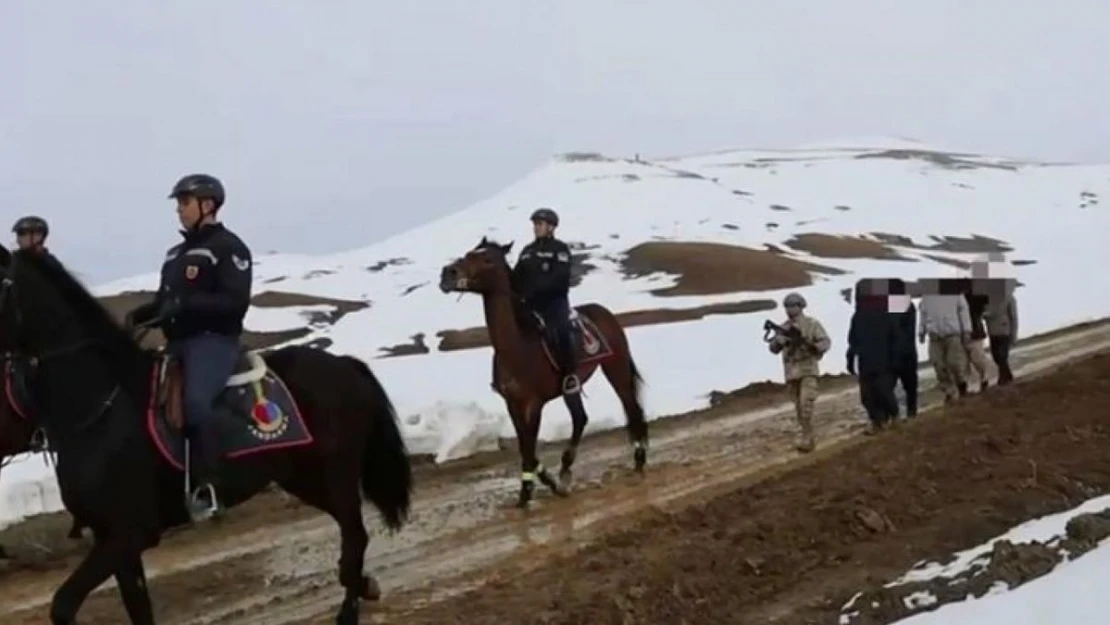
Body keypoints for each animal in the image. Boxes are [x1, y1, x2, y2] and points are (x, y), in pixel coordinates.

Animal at [0, 245, 415, 625]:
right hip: (305, 478)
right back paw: (364, 586)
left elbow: (63, 604)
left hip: (336, 473)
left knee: (355, 536)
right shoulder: (116, 541)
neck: (103, 406)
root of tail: (343, 365)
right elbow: (138, 610)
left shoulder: (129, 534)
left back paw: (350, 608)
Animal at [437, 238, 648, 508]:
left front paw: (530, 490)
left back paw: (638, 459)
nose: (448, 273)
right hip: (575, 386)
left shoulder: (533, 404)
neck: (516, 347)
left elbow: (528, 447)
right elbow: (525, 448)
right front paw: (545, 483)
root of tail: (604, 313)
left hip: (615, 367)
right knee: (581, 418)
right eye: (468, 253)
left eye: (487, 259)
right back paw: (566, 470)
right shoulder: (513, 405)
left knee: (630, 407)